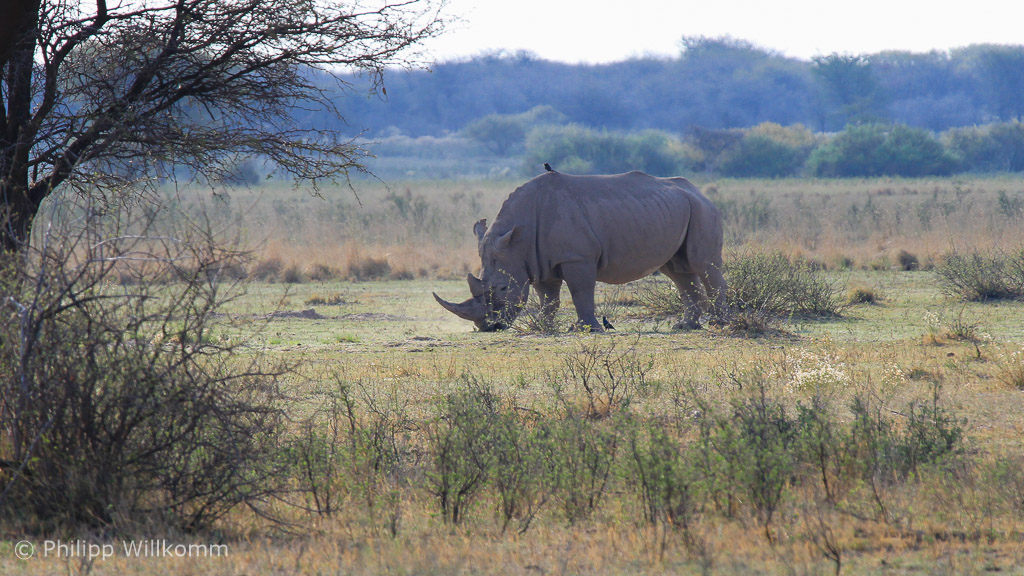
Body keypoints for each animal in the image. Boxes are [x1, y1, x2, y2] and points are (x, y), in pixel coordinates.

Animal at [433, 170, 727, 332]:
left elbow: (580, 292)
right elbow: (548, 298)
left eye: (504, 289)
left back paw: (720, 324)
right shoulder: (536, 260)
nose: (488, 327)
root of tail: (699, 191)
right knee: (678, 270)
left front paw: (589, 329)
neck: (517, 238)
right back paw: (686, 325)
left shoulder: (577, 258)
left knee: (702, 264)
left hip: (702, 210)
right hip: (672, 209)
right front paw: (546, 326)